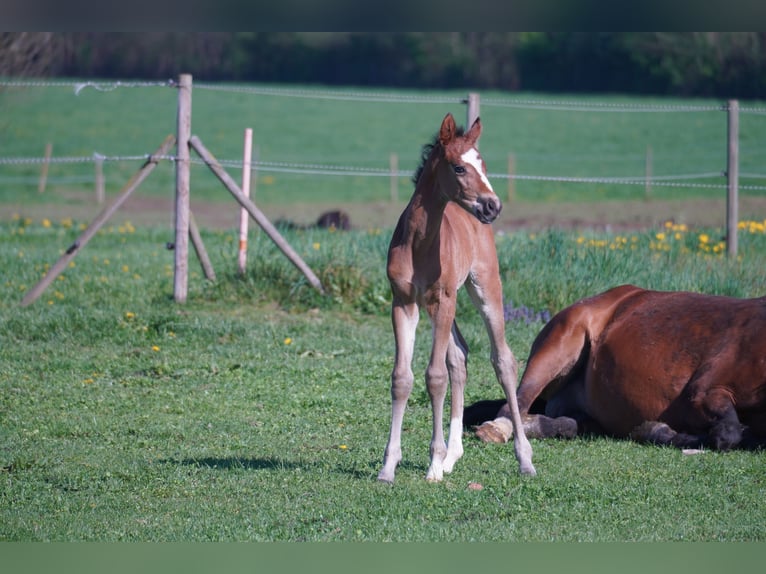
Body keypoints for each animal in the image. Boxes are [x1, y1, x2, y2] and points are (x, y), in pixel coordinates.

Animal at [377, 113, 536, 483]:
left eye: (484, 164)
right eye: (459, 168)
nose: (493, 205)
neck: (419, 243)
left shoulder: (444, 299)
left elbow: (435, 377)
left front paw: (433, 464)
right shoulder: (403, 302)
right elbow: (402, 378)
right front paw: (389, 466)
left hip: (483, 288)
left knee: (503, 360)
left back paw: (524, 459)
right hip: (438, 308)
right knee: (460, 356)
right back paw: (453, 455)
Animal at [465, 284, 766, 451]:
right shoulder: (703, 391)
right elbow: (728, 434)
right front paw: (656, 430)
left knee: (567, 422)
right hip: (559, 347)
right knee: (514, 406)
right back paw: (496, 430)